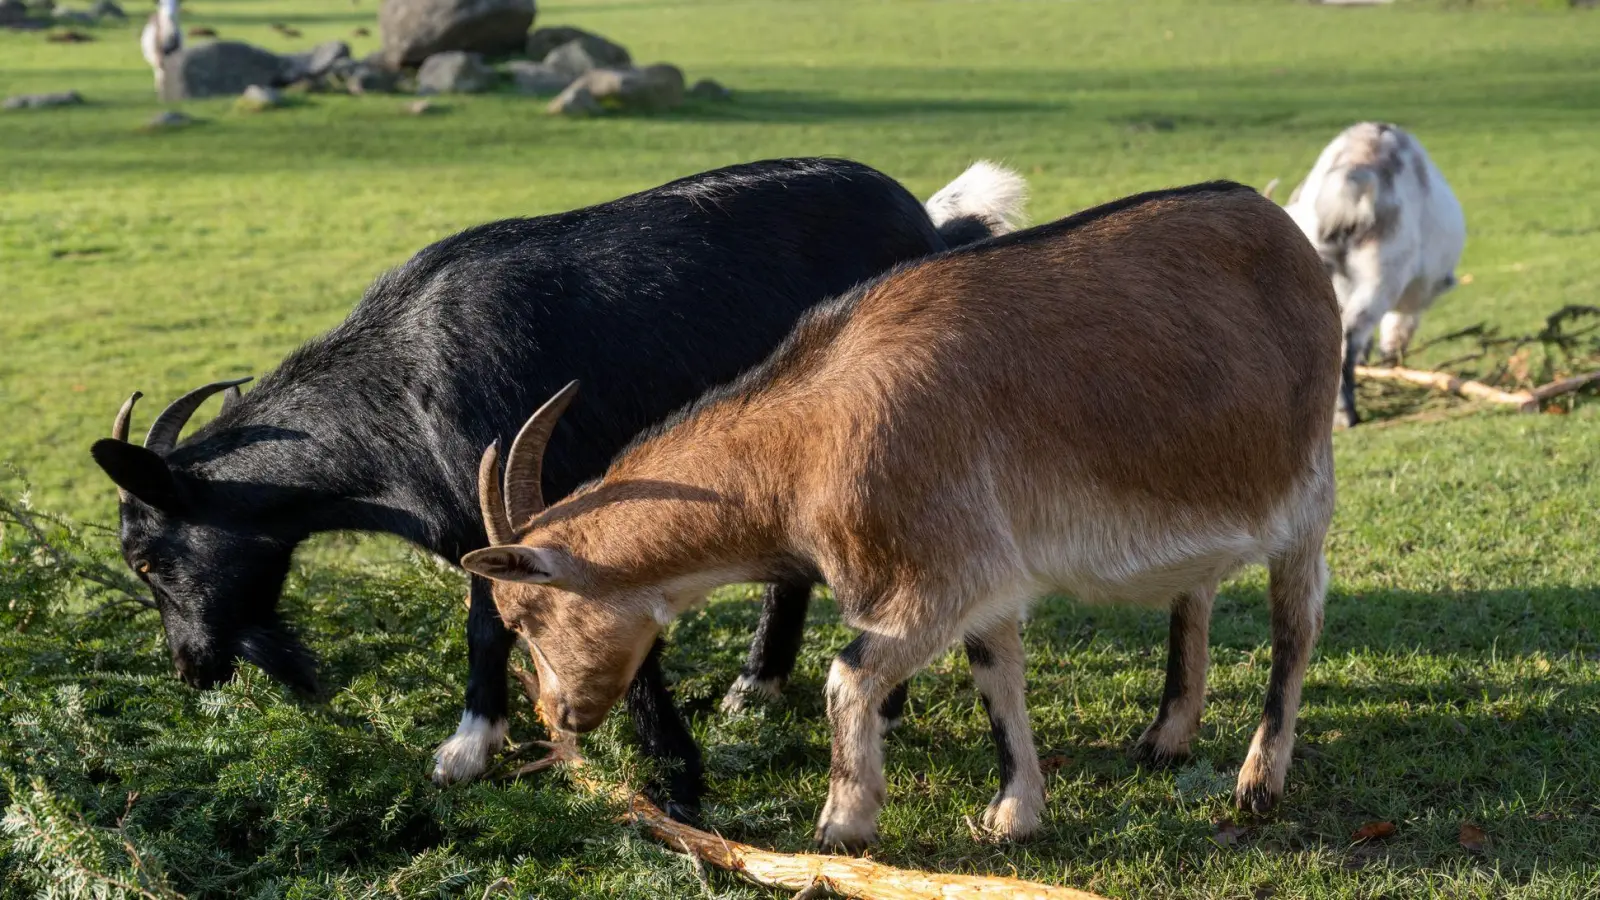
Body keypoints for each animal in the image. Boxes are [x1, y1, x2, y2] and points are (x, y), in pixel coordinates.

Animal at [88, 158, 1026, 818]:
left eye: (147, 560)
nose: (191, 669)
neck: (399, 390)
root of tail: (930, 225)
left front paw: (671, 780)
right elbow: (489, 626)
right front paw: (476, 746)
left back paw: (877, 702)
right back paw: (757, 688)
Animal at [463, 181, 1341, 850]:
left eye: (528, 612)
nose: (562, 713)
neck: (805, 441)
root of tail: (1284, 232)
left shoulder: (937, 571)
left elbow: (848, 675)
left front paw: (842, 825)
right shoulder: (983, 574)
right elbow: (997, 678)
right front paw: (1014, 814)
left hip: (1306, 492)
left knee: (1295, 626)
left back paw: (1258, 781)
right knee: (1195, 595)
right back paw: (1167, 736)